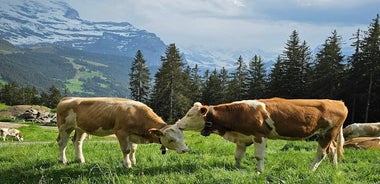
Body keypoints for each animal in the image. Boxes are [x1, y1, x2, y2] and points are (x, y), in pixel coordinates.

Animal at [56, 98, 189, 168]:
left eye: (183, 137)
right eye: (171, 139)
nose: (185, 150)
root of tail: (67, 98)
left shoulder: (133, 135)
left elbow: (133, 149)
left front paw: (133, 161)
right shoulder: (121, 133)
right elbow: (126, 150)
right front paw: (127, 165)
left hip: (80, 128)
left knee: (77, 142)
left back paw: (80, 160)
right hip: (64, 127)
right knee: (62, 143)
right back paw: (62, 161)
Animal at [178, 98, 348, 172]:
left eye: (190, 114)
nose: (178, 124)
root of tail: (338, 102)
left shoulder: (259, 135)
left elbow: (259, 156)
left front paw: (259, 171)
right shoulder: (242, 138)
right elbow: (238, 156)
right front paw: (236, 168)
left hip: (328, 133)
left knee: (322, 153)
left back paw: (310, 170)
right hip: (328, 135)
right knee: (333, 150)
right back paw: (334, 167)